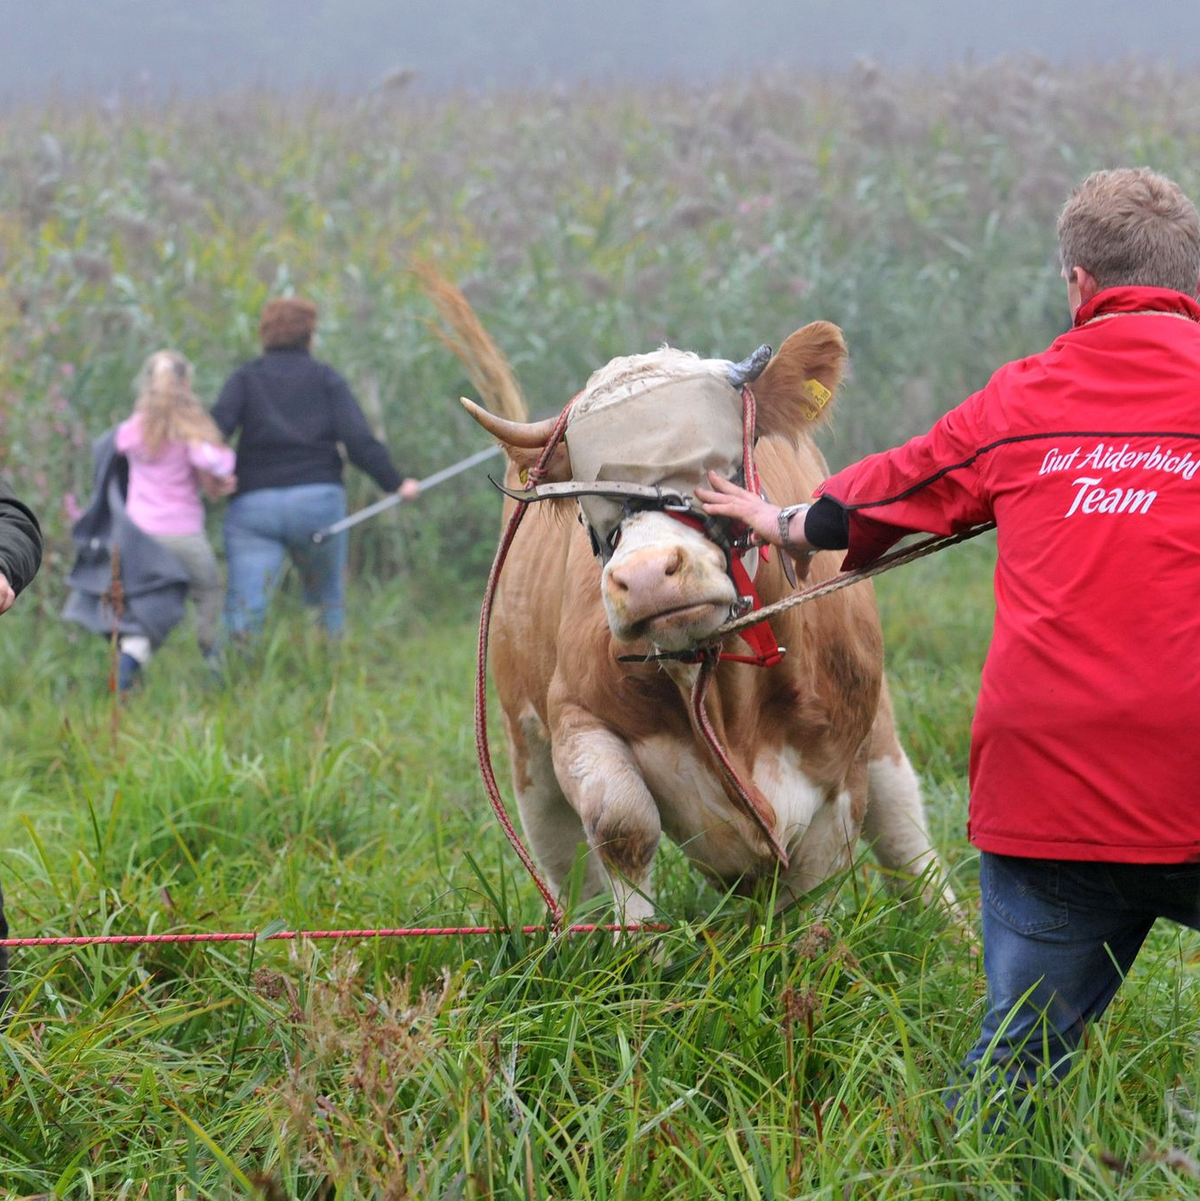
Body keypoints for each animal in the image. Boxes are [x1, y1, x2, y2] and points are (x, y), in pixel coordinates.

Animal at [449, 304, 954, 922]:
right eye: (589, 508)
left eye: (718, 468)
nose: (645, 577)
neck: (726, 697)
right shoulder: (576, 714)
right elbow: (621, 824)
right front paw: (637, 948)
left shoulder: (839, 770)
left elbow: (816, 888)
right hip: (526, 744)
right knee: (567, 865)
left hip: (878, 732)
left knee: (906, 835)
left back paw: (953, 926)